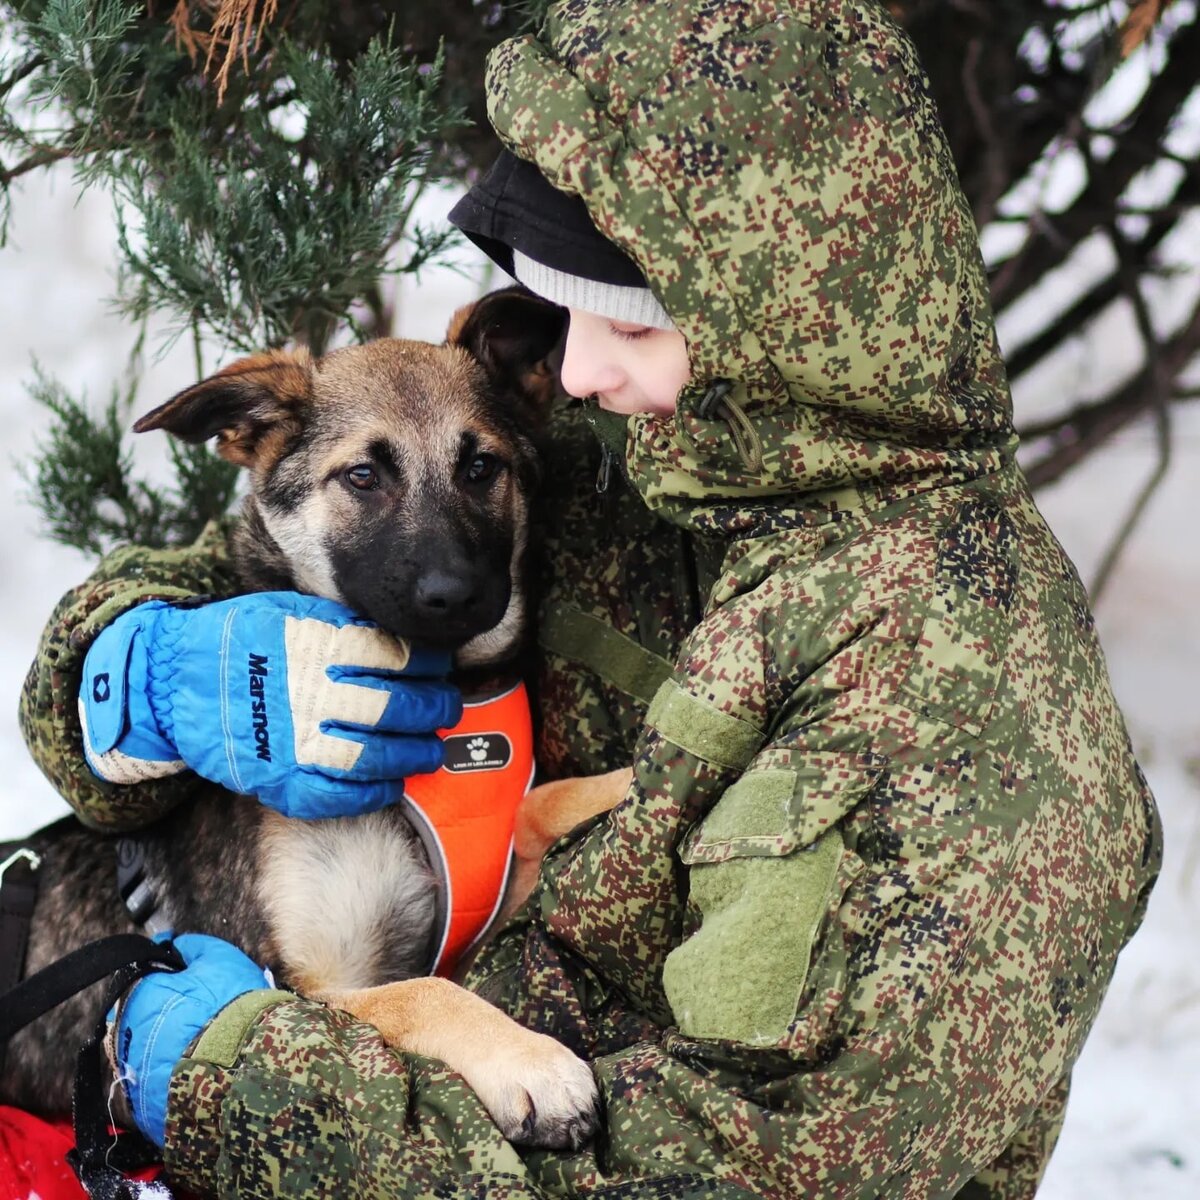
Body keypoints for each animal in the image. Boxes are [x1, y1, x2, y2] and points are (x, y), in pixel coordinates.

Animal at [0, 290, 633, 1152]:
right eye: (362, 476)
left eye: (481, 467)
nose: (458, 595)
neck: (428, 721)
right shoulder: (302, 985)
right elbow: (423, 994)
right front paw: (531, 1063)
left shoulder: (483, 905)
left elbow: (545, 804)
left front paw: (643, 775)